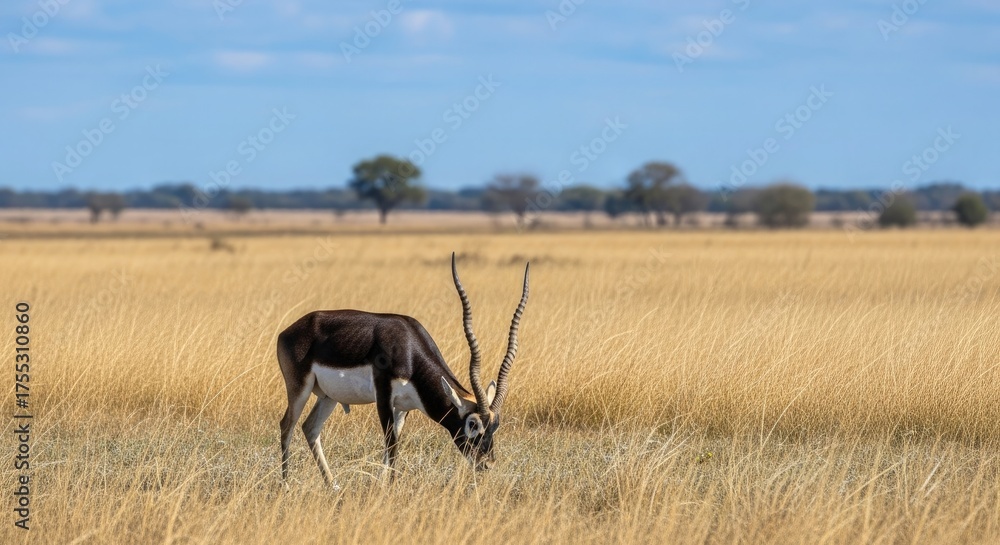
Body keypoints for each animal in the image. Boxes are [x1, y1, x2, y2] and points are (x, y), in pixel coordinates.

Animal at [277, 253, 529, 482]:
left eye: (496, 425)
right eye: (472, 423)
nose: (487, 464)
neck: (409, 350)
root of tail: (287, 332)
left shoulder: (403, 408)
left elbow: (391, 451)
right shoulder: (383, 398)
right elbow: (391, 446)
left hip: (329, 396)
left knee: (310, 428)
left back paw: (333, 486)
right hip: (299, 389)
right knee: (287, 425)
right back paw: (286, 485)